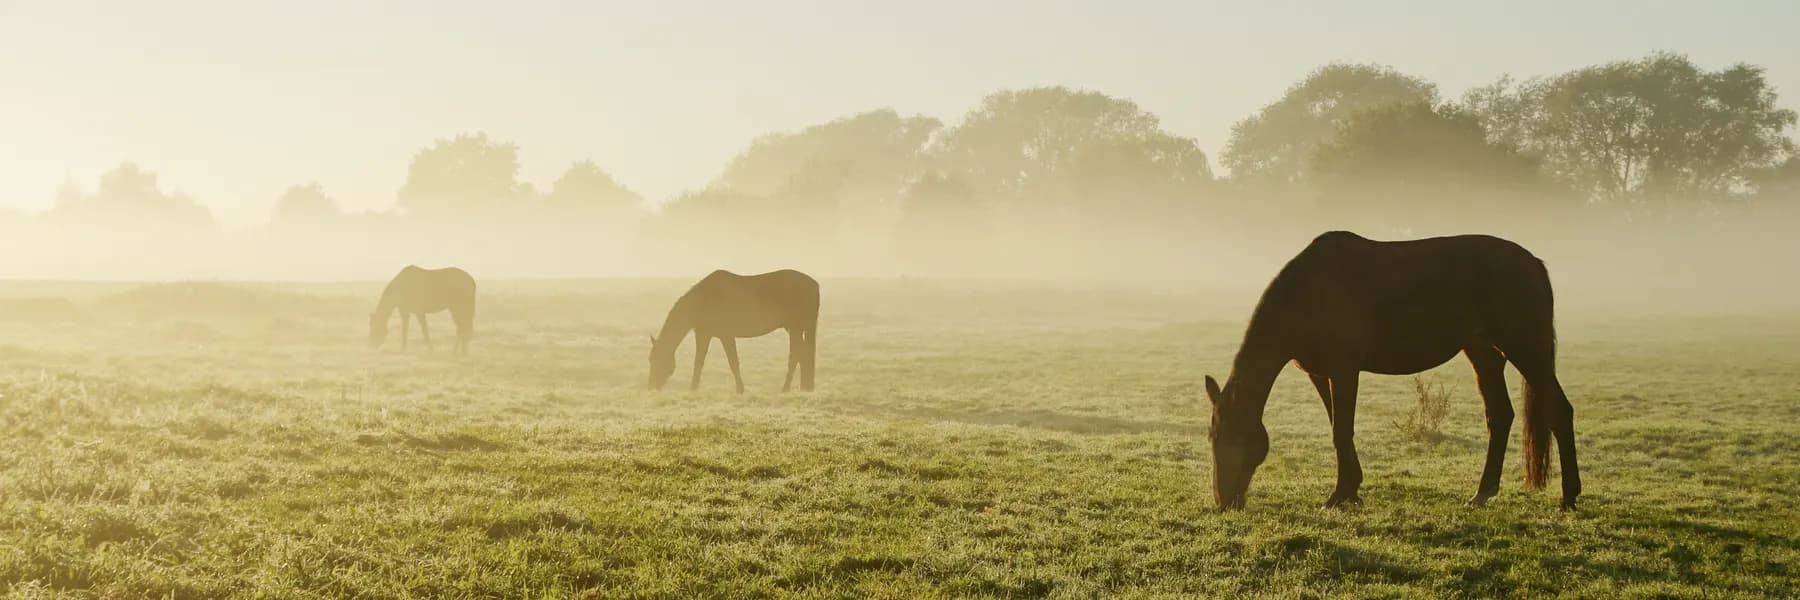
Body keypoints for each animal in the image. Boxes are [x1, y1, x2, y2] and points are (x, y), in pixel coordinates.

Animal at [648, 269, 820, 393]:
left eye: (657, 360)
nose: (651, 386)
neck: (703, 300)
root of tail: (814, 284)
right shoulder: (704, 335)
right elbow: (699, 362)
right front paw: (693, 388)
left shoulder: (726, 336)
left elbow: (732, 362)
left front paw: (740, 389)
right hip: (796, 329)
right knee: (803, 355)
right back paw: (804, 387)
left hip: (796, 328)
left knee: (796, 356)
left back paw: (786, 388)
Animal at [1204, 231, 1580, 511]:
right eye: (1212, 438)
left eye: (1232, 436)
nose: (1225, 502)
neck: (1308, 293)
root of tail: (1534, 264)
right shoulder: (1320, 373)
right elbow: (1337, 426)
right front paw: (1351, 491)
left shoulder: (1344, 370)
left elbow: (1341, 430)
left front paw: (1339, 495)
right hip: (1483, 353)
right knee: (1500, 415)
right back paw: (1482, 493)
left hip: (1525, 349)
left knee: (1559, 410)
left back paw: (1569, 496)